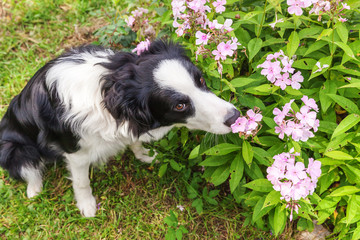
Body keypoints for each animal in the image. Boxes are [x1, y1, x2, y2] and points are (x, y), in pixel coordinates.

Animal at [1, 40, 240, 217]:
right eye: (179, 106)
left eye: (201, 80)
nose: (235, 117)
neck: (110, 90)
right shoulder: (75, 152)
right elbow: (81, 181)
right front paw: (87, 206)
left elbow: (134, 141)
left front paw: (145, 155)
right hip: (14, 148)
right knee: (29, 167)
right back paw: (34, 189)